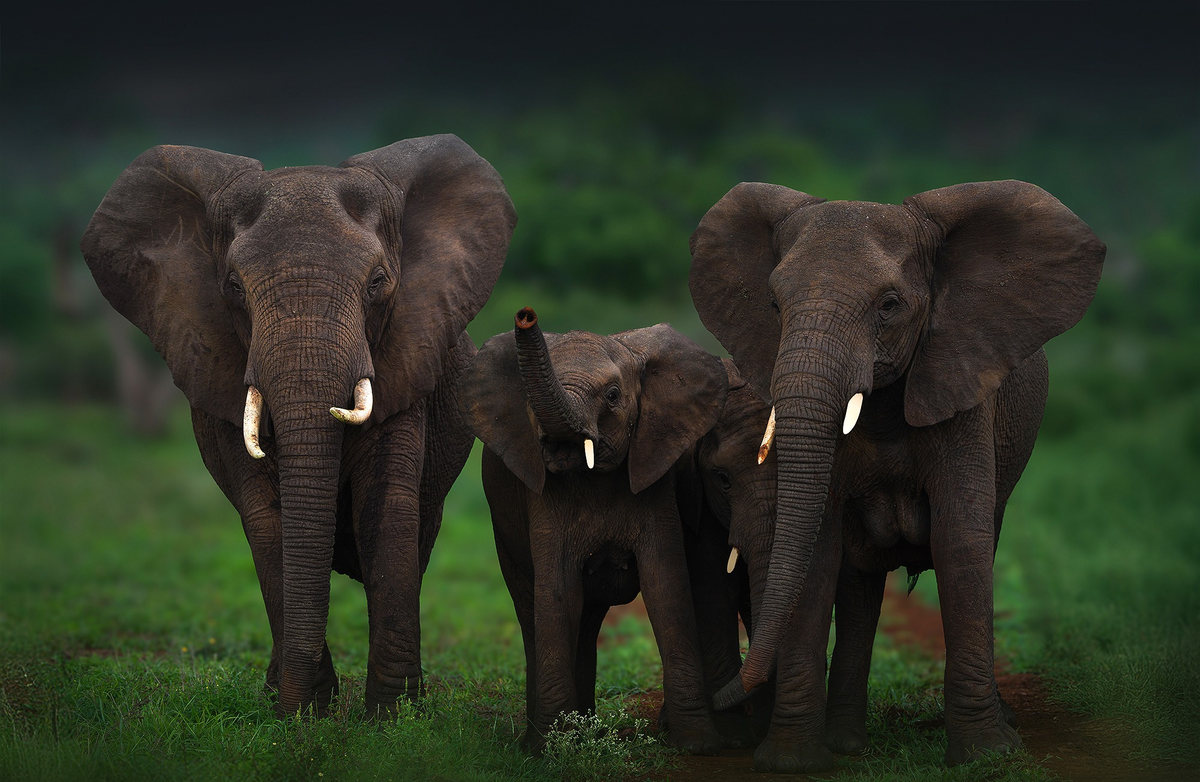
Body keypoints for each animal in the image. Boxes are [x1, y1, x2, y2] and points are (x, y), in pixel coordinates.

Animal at [80, 135, 516, 718]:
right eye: (234, 287)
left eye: (378, 283)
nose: (298, 710)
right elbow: (268, 519)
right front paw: (304, 710)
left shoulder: (406, 354)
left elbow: (386, 508)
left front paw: (391, 716)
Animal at [459, 307, 728, 754]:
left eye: (614, 396)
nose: (526, 315)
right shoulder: (543, 499)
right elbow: (556, 592)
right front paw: (548, 751)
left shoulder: (654, 475)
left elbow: (665, 585)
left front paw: (698, 746)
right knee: (533, 607)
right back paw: (552, 738)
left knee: (586, 619)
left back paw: (587, 732)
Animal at [689, 179, 1105, 770]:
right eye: (773, 305)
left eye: (890, 306)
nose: (723, 695)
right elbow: (818, 552)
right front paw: (792, 761)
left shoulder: (961, 385)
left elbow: (961, 543)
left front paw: (987, 756)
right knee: (859, 585)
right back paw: (847, 742)